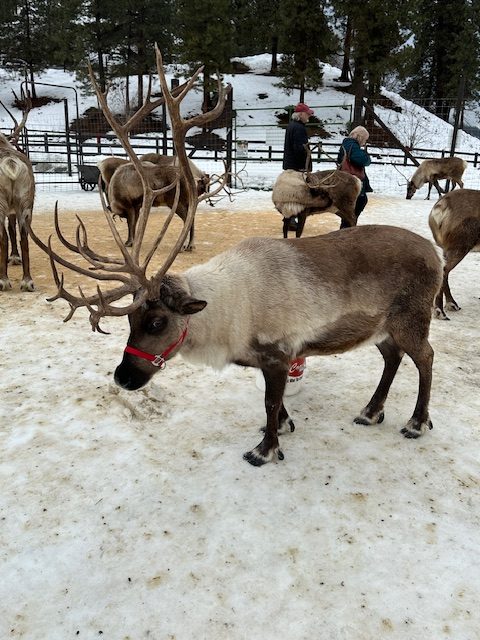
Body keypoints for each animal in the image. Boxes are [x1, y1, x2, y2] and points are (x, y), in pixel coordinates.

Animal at [29, 46, 443, 467]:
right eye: (130, 319)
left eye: (158, 322)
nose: (123, 376)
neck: (226, 313)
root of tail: (436, 253)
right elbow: (276, 405)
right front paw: (283, 427)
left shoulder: (278, 353)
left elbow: (270, 402)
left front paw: (265, 449)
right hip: (383, 326)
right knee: (393, 358)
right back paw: (371, 411)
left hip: (412, 318)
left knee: (426, 357)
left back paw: (416, 422)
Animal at [428, 188, 480, 319]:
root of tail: (441, 206)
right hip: (460, 245)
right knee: (444, 270)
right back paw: (440, 310)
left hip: (446, 248)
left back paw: (451, 304)